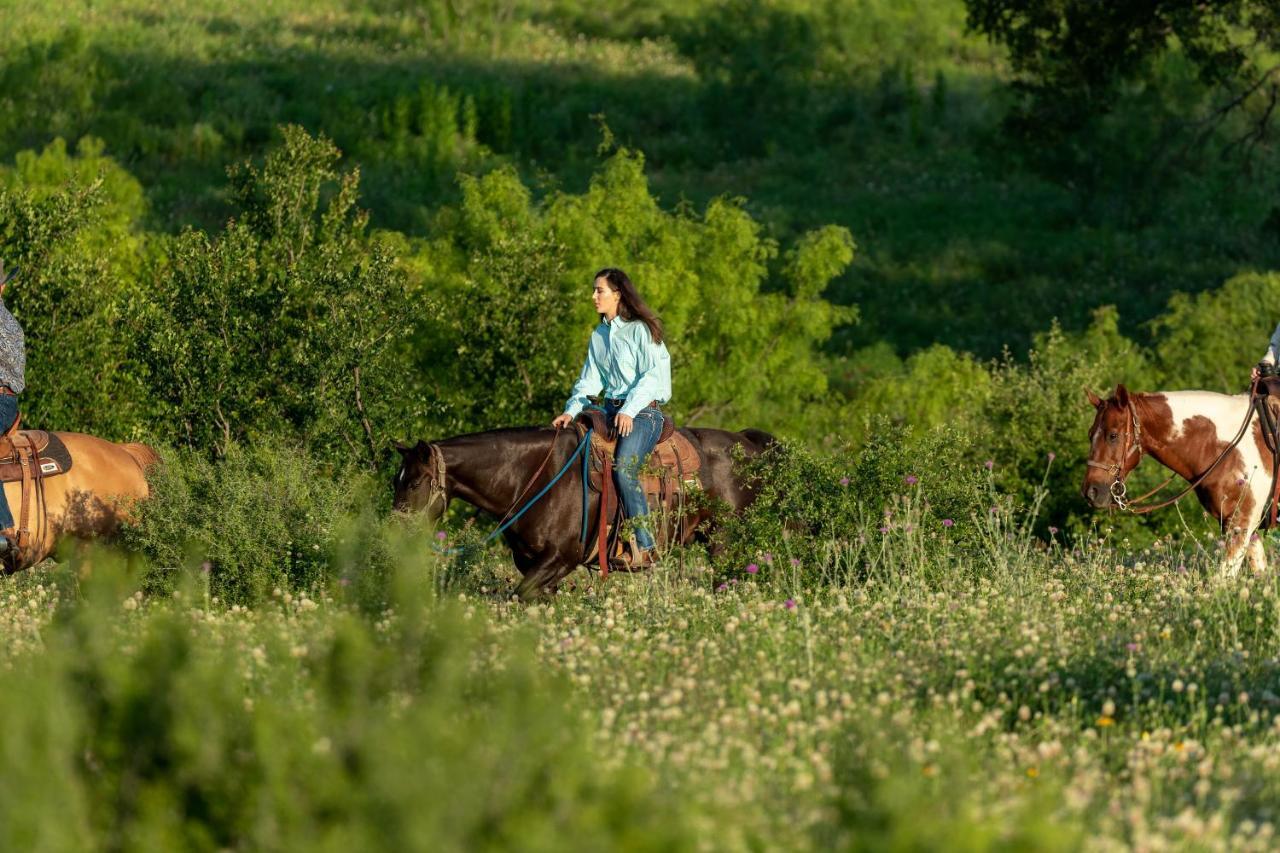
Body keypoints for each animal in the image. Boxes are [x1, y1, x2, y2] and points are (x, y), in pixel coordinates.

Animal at [386, 422, 768, 594]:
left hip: (723, 544)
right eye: (395, 481)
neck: (533, 477)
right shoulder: (532, 563)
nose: (395, 533)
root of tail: (748, 442)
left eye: (415, 482)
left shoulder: (560, 559)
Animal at [1080, 381, 1269, 573]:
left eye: (1113, 435)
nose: (1091, 492)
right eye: (1089, 434)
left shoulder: (1241, 523)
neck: (1227, 448)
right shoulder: (1244, 527)